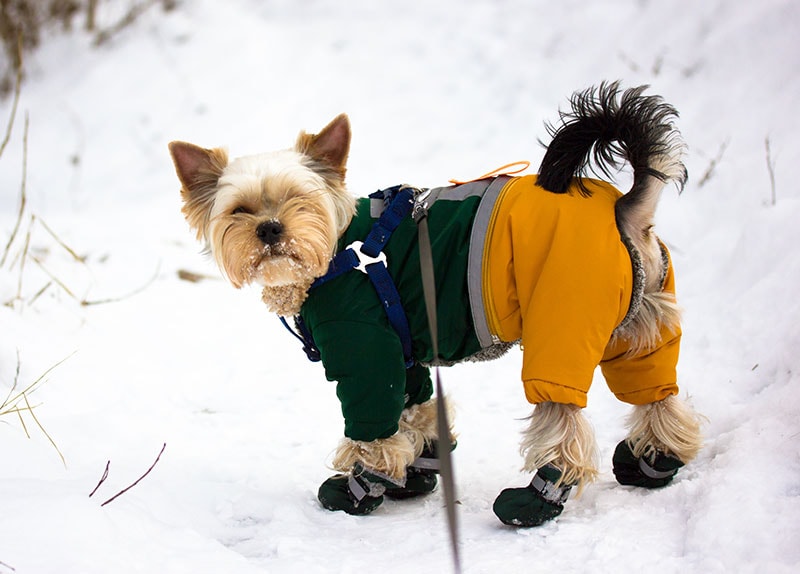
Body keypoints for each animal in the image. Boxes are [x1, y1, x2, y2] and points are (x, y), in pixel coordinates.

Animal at [167, 83, 700, 528]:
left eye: (298, 199)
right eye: (240, 211)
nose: (270, 229)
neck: (336, 250)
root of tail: (623, 209)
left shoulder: (364, 348)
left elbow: (374, 423)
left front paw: (363, 484)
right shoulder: (403, 352)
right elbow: (416, 407)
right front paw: (417, 471)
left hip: (563, 324)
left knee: (563, 423)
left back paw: (536, 500)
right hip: (642, 324)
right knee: (659, 395)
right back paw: (655, 461)